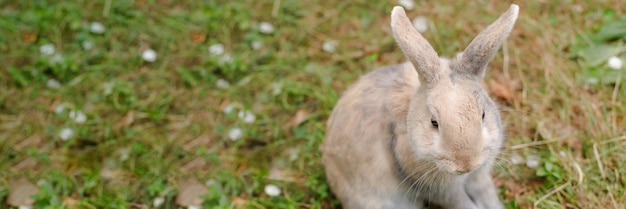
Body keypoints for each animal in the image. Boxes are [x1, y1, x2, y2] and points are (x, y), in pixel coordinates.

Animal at [320, 3, 520, 209]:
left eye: (483, 115)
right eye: (434, 122)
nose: (466, 164)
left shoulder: (479, 176)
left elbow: (486, 194)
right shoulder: (441, 190)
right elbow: (461, 202)